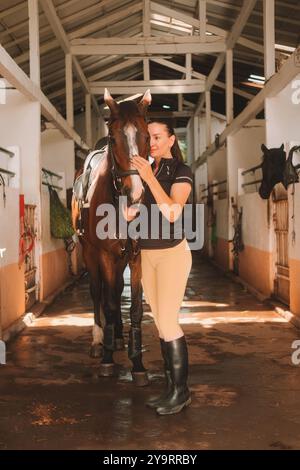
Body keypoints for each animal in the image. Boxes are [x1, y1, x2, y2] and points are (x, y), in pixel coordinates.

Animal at [73, 88, 150, 386]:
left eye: (147, 137)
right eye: (114, 139)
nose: (136, 193)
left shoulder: (137, 255)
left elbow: (134, 307)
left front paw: (137, 363)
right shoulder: (104, 254)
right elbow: (106, 302)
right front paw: (106, 359)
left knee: (116, 290)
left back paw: (116, 338)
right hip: (90, 252)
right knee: (99, 293)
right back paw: (99, 342)